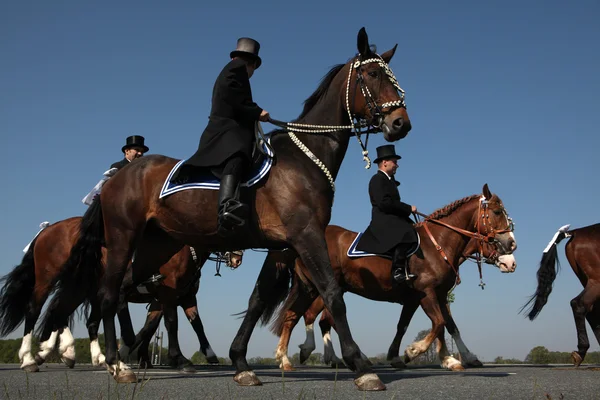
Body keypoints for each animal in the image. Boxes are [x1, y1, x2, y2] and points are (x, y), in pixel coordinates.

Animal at [0, 219, 243, 372]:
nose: (237, 258)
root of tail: (47, 230)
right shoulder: (166, 293)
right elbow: (166, 324)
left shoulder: (183, 297)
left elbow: (193, 324)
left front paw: (209, 354)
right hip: (48, 279)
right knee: (37, 309)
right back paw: (31, 358)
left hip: (79, 287)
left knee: (62, 312)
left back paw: (67, 352)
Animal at [38, 28, 412, 390]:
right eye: (373, 73)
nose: (400, 124)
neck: (305, 157)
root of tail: (117, 176)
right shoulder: (306, 236)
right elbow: (333, 294)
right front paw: (361, 366)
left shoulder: (282, 247)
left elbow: (256, 301)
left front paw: (240, 362)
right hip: (122, 239)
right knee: (107, 293)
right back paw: (116, 364)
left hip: (154, 248)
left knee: (123, 293)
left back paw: (119, 355)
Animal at [266, 184, 516, 372]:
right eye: (496, 212)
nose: (511, 254)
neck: (438, 244)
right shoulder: (426, 293)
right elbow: (439, 323)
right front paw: (413, 351)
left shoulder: (431, 296)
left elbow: (438, 326)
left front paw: (451, 358)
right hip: (317, 287)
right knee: (309, 316)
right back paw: (300, 355)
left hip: (314, 287)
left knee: (298, 316)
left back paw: (290, 357)